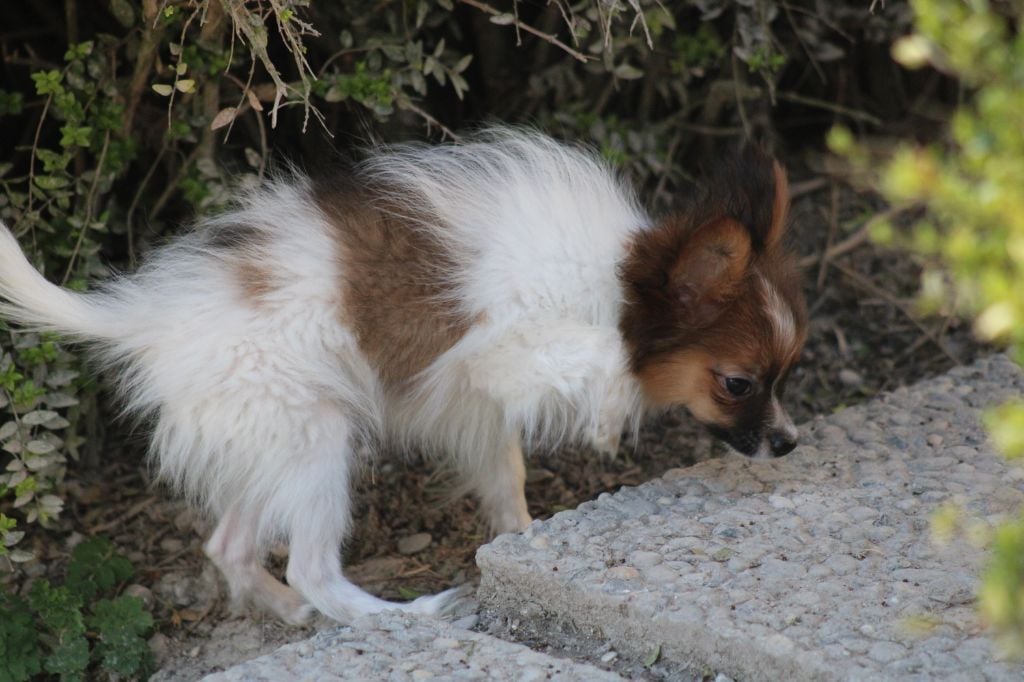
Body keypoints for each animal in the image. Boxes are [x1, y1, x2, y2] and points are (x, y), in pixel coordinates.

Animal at [0, 127, 806, 622]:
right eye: (738, 383)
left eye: (787, 374)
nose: (791, 445)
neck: (616, 282)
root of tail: (148, 318)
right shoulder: (496, 352)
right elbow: (606, 355)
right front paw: (609, 417)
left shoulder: (484, 407)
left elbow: (507, 482)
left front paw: (521, 542)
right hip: (315, 439)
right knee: (310, 565)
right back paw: (398, 617)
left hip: (271, 436)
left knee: (228, 543)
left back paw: (289, 611)